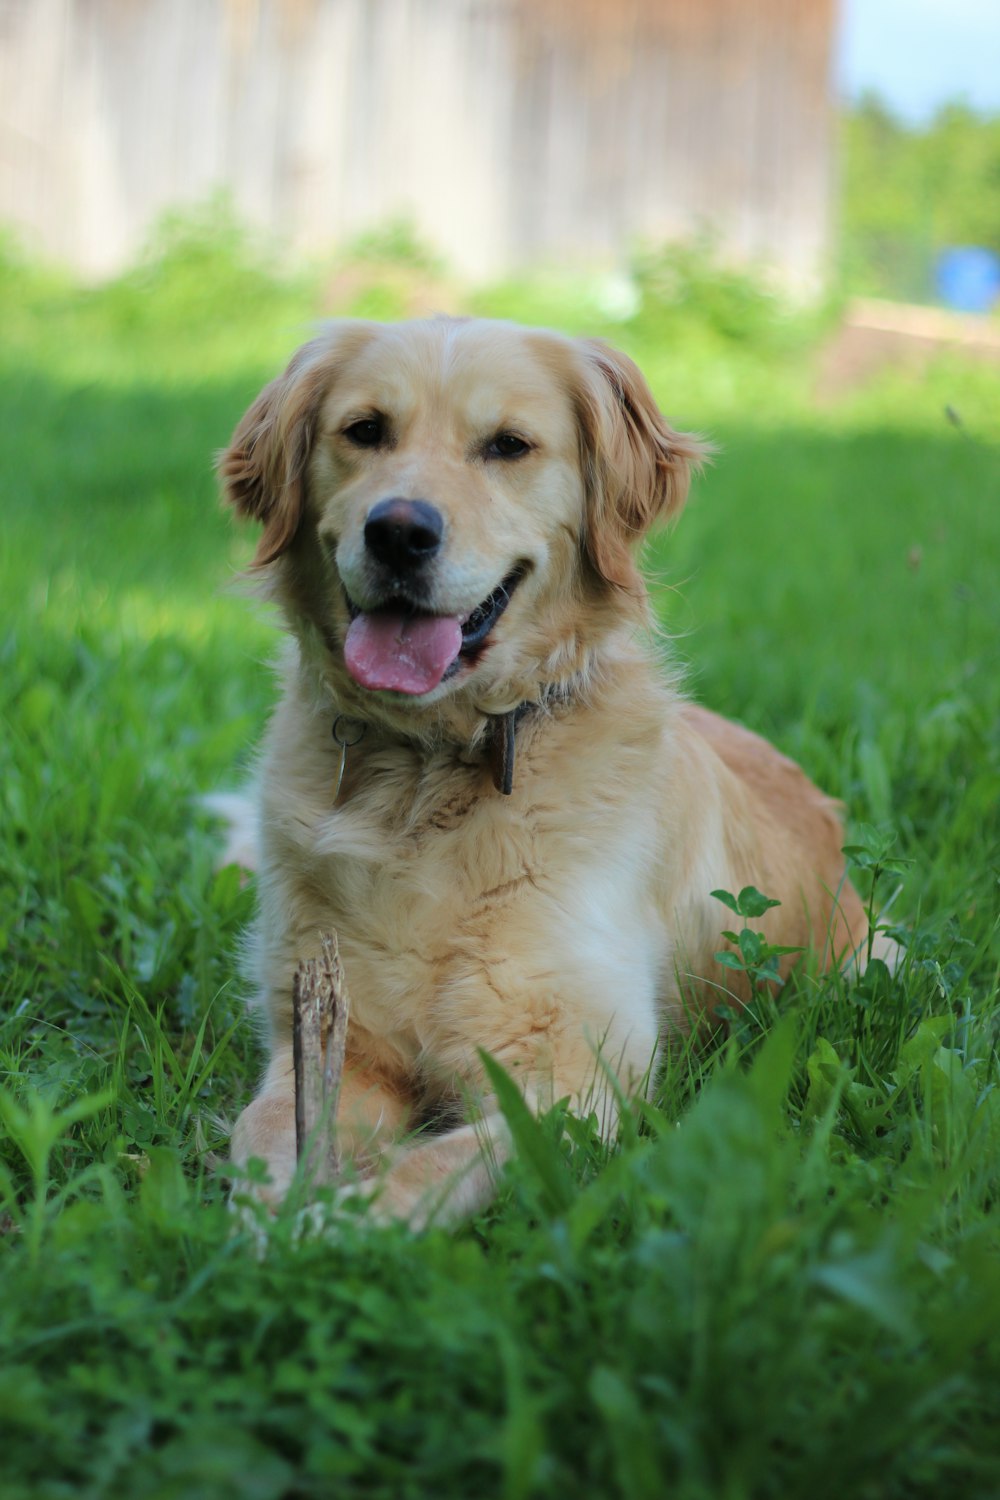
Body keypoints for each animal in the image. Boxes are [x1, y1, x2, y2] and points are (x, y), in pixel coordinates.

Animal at [224, 319, 875, 1230]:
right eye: (365, 431)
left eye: (508, 445)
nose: (398, 532)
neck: (431, 766)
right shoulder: (328, 1034)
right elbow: (264, 1134)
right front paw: (273, 1214)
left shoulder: (580, 1076)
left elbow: (433, 1169)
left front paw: (333, 1226)